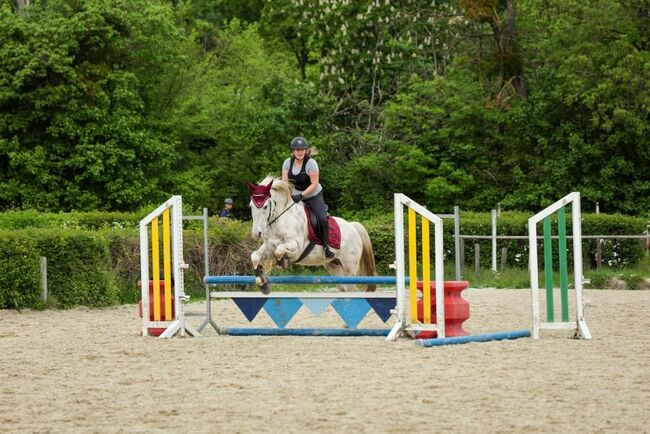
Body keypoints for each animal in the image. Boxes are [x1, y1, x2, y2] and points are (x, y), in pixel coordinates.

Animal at [247, 176, 378, 294]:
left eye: (265, 206)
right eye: (251, 206)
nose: (256, 234)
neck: (279, 220)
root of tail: (353, 227)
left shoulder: (297, 247)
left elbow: (279, 251)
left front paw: (282, 262)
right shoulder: (269, 247)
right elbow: (255, 257)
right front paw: (263, 284)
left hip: (350, 267)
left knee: (351, 288)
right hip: (334, 266)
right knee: (344, 288)